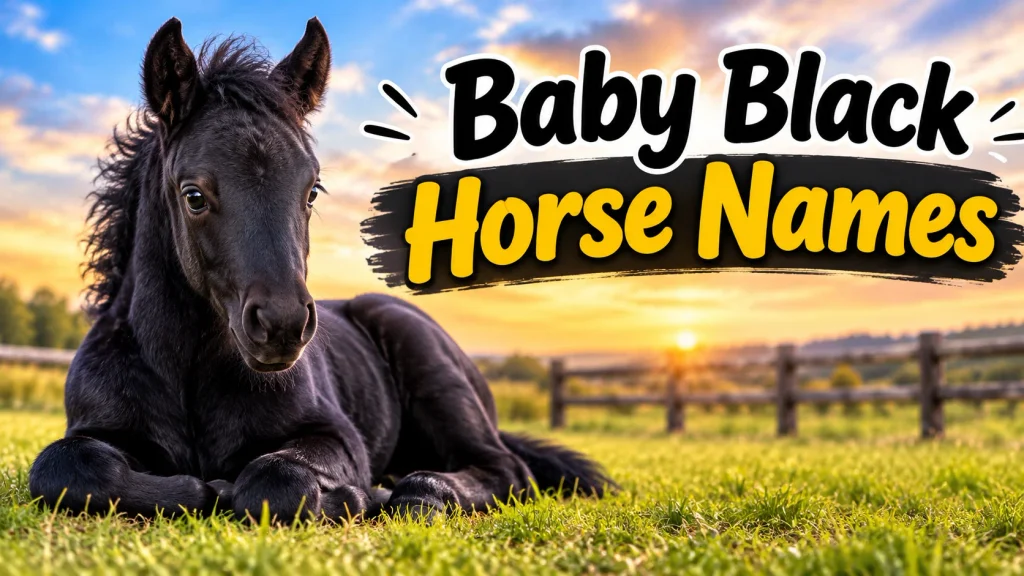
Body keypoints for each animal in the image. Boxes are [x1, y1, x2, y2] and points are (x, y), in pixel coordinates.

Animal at [27, 17, 613, 522]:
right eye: (194, 195)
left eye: (311, 190)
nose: (282, 325)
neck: (190, 373)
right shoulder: (92, 429)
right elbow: (66, 469)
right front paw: (201, 488)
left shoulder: (333, 437)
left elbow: (276, 479)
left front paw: (345, 495)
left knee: (501, 470)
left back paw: (409, 491)